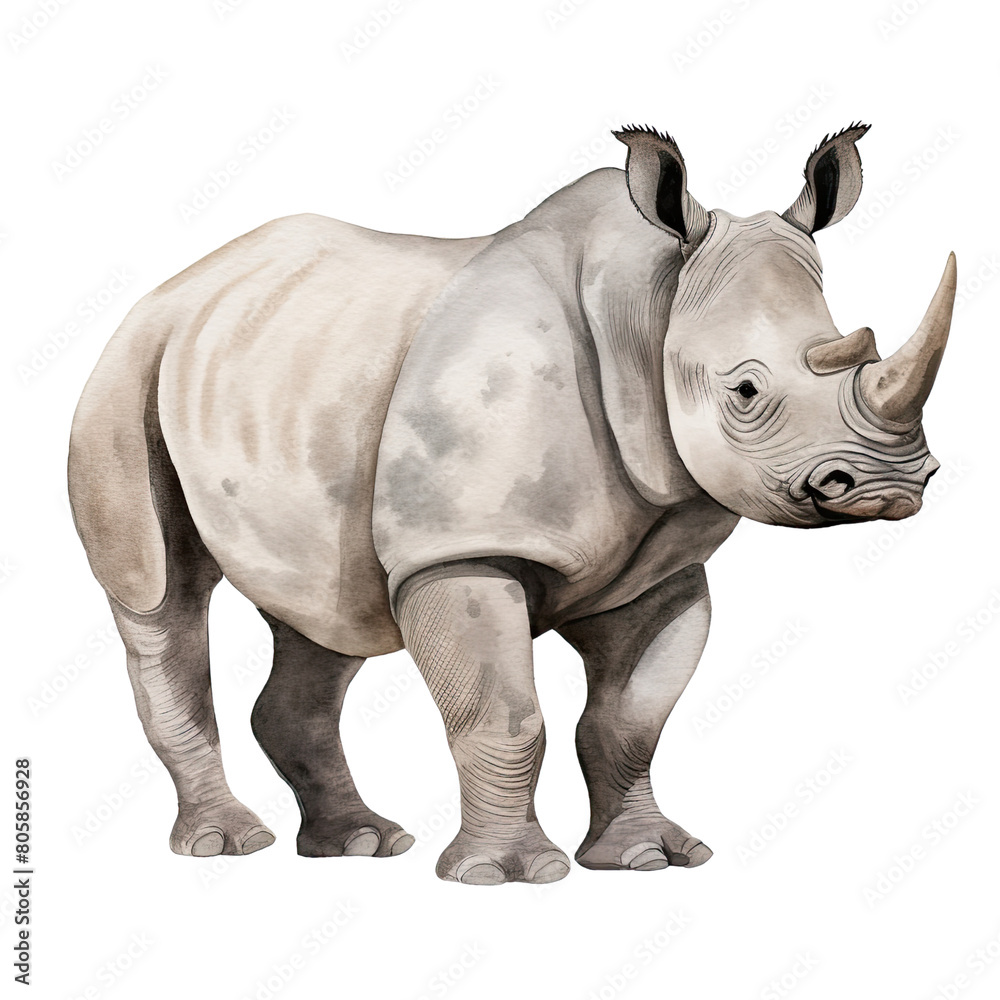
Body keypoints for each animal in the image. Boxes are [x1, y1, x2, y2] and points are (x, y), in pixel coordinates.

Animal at [69, 122, 956, 884]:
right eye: (744, 391)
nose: (890, 486)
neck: (650, 308)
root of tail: (181, 286)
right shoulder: (461, 546)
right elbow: (503, 714)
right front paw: (508, 875)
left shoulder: (662, 573)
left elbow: (631, 721)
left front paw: (649, 859)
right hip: (128, 369)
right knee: (161, 595)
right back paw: (225, 845)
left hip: (286, 378)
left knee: (325, 611)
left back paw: (360, 844)